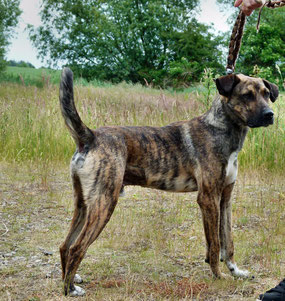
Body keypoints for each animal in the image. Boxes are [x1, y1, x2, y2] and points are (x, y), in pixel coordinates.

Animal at [58, 67, 278, 294]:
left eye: (266, 94)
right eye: (247, 95)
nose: (270, 115)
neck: (221, 128)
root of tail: (90, 136)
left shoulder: (225, 199)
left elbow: (228, 241)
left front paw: (235, 271)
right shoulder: (208, 198)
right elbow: (216, 244)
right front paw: (219, 276)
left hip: (83, 205)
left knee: (64, 246)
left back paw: (70, 279)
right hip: (104, 203)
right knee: (76, 247)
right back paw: (70, 289)